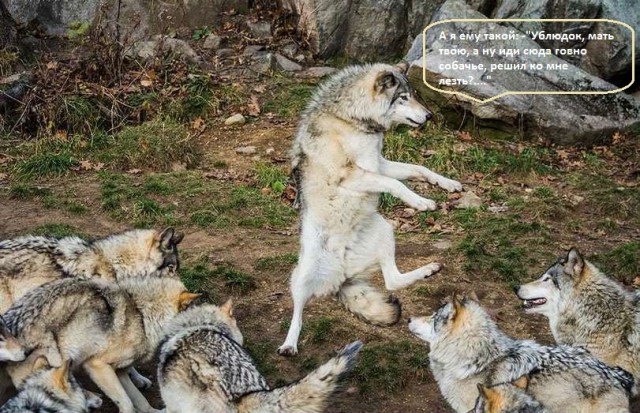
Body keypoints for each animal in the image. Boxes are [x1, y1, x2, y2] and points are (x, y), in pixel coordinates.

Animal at [278, 62, 462, 356]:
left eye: (414, 95)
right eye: (403, 97)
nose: (430, 115)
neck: (350, 119)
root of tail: (343, 275)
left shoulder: (379, 163)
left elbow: (419, 169)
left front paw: (448, 184)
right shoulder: (352, 175)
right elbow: (395, 183)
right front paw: (421, 202)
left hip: (386, 231)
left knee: (392, 281)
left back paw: (430, 270)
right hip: (302, 276)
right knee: (297, 312)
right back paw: (289, 344)